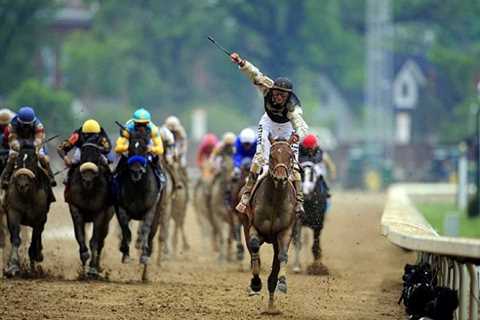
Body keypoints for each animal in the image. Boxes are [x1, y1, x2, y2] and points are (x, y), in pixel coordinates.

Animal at [3, 144, 54, 276]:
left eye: (33, 162)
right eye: (18, 162)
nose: (22, 185)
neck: (27, 196)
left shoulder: (39, 218)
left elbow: (35, 238)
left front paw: (36, 258)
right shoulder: (14, 212)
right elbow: (16, 238)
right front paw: (13, 267)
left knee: (38, 236)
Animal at [115, 130, 165, 280]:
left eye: (144, 149)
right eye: (130, 148)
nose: (136, 171)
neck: (138, 187)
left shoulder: (150, 210)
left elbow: (145, 231)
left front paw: (143, 256)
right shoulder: (121, 208)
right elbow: (126, 230)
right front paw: (125, 252)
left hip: (158, 213)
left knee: (150, 236)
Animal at [242, 134, 298, 312]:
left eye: (290, 156)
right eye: (272, 156)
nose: (280, 178)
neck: (275, 200)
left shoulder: (285, 231)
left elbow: (283, 255)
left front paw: (282, 283)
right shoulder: (253, 227)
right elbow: (254, 246)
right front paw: (255, 283)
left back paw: (271, 306)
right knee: (253, 251)